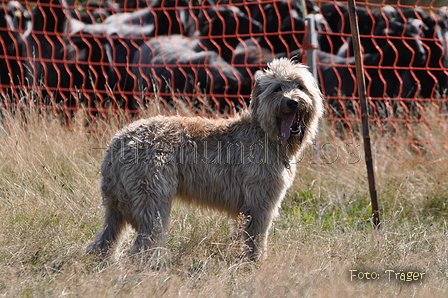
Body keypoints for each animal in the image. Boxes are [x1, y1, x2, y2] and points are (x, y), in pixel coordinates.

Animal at [85, 57, 322, 260]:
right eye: (277, 88)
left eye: (300, 86)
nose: (293, 102)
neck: (264, 132)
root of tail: (118, 141)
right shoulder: (259, 203)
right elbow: (256, 238)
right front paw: (256, 263)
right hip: (152, 200)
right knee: (143, 245)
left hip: (117, 206)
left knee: (105, 239)